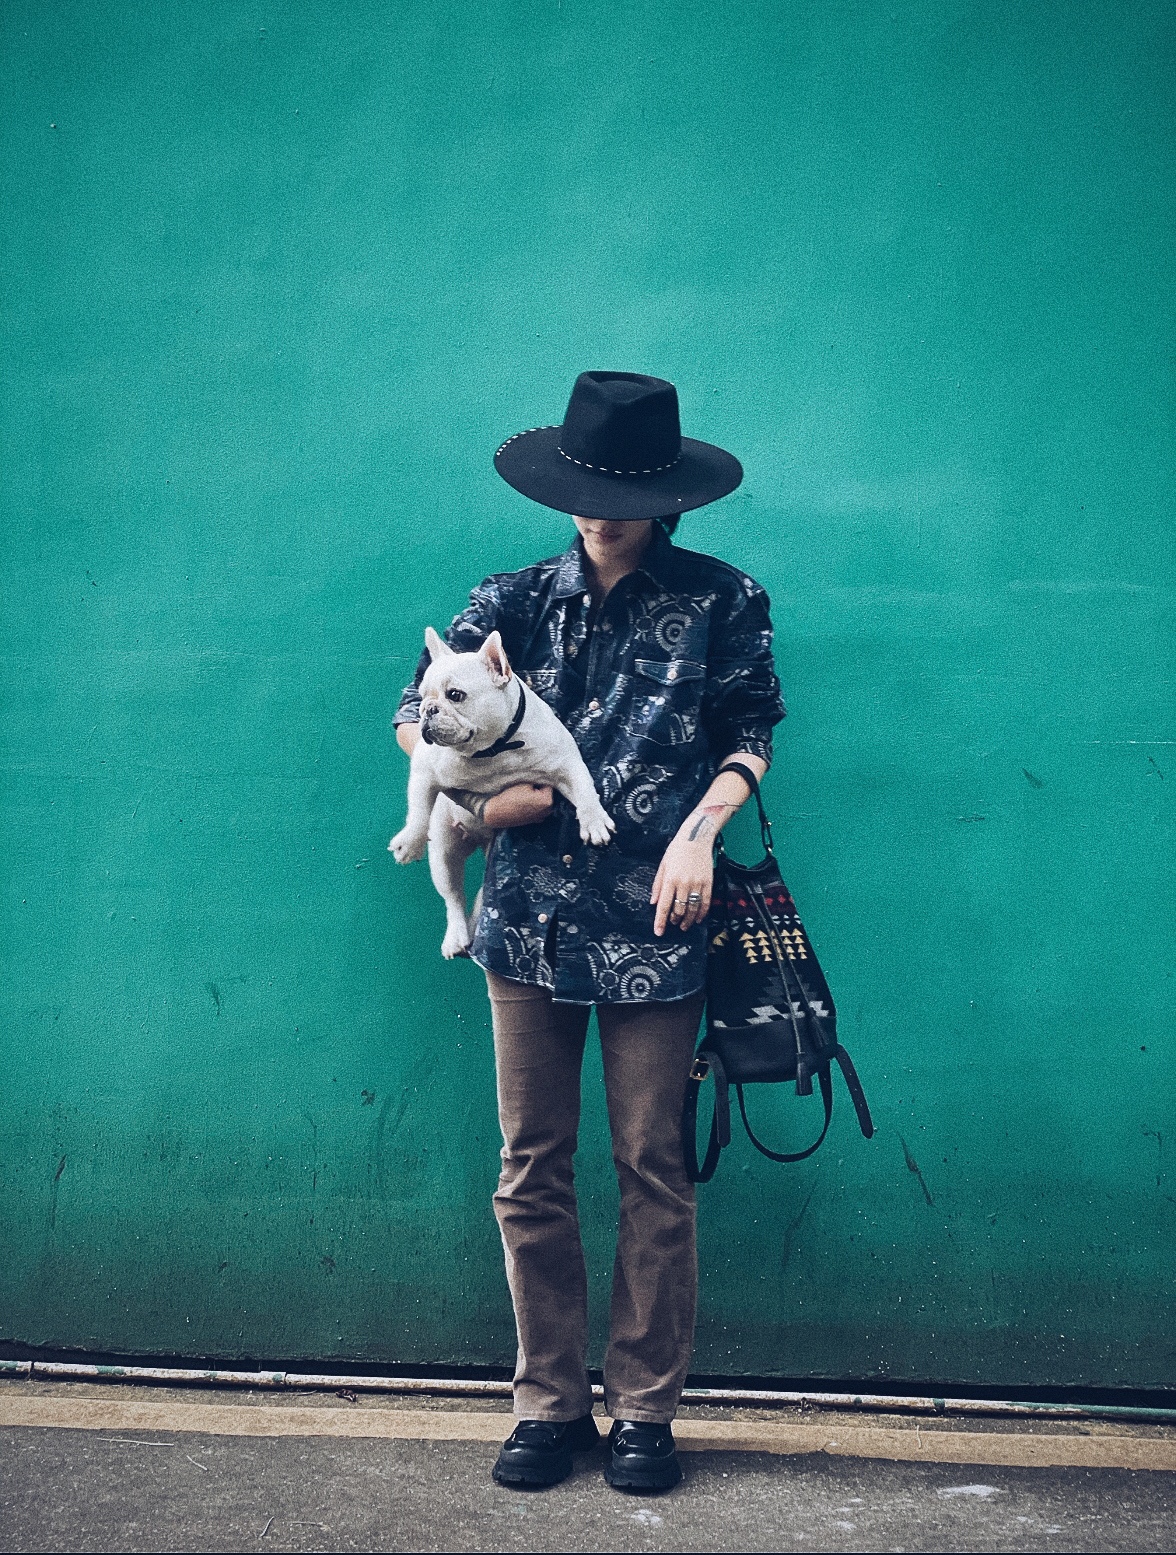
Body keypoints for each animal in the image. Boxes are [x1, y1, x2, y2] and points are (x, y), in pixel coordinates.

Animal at [389, 627, 615, 958]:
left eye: (455, 695)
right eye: (421, 696)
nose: (427, 710)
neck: (493, 749)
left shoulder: (566, 764)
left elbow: (585, 789)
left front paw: (594, 822)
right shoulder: (424, 769)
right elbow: (418, 810)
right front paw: (409, 842)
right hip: (444, 851)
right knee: (453, 897)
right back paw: (457, 935)